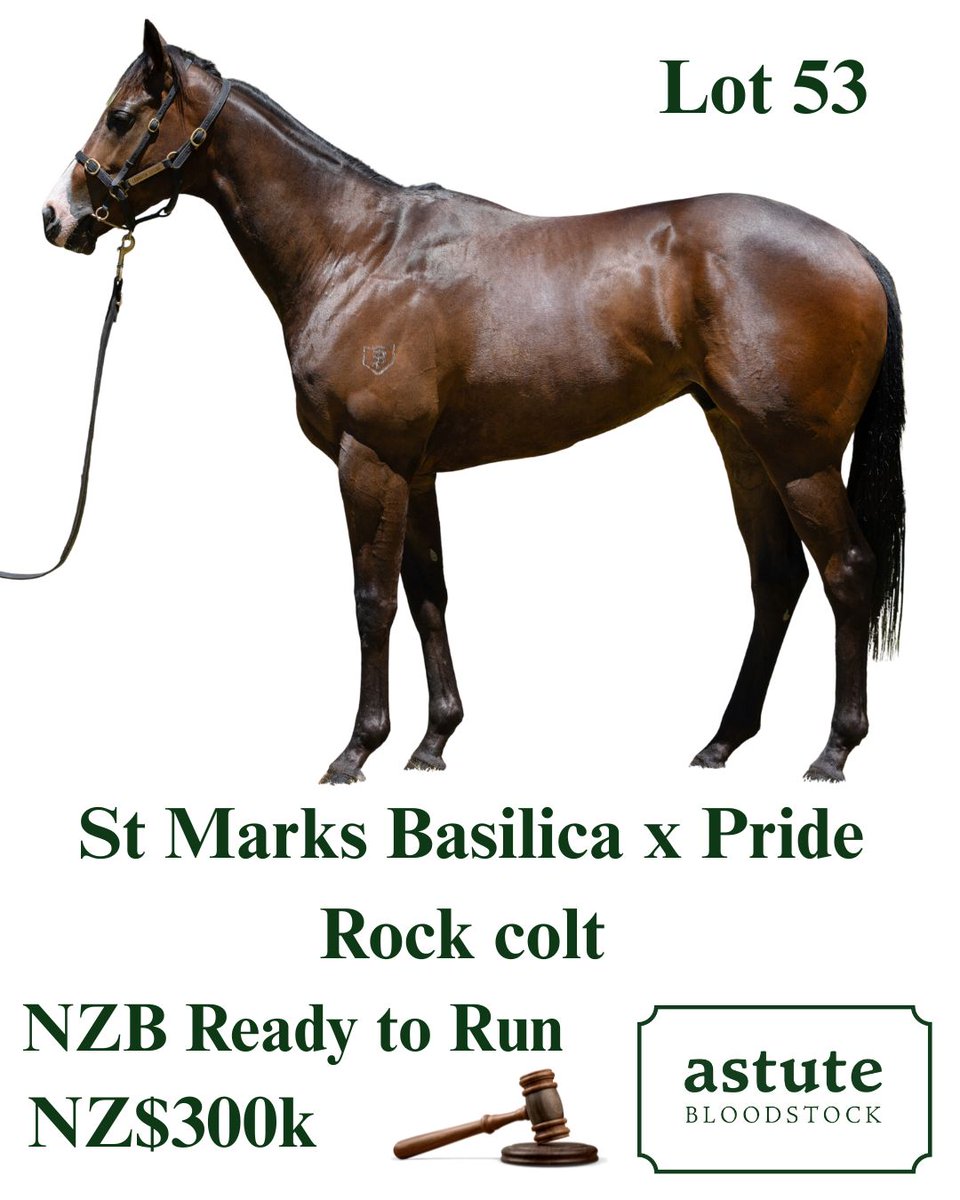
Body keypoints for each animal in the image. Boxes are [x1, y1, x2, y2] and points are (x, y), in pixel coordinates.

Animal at [42, 22, 904, 784]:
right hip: (744, 445)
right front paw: (432, 743)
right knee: (776, 579)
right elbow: (429, 596)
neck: (357, 252)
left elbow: (372, 601)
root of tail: (853, 249)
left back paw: (833, 752)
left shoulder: (370, 461)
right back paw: (723, 742)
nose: (57, 215)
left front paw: (357, 751)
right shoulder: (415, 470)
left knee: (848, 570)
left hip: (799, 458)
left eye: (122, 116)